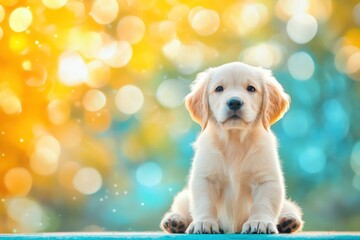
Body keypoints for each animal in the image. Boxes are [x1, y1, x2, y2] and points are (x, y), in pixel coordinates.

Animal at [160, 62, 304, 234]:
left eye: (251, 88)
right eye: (219, 88)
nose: (234, 102)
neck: (234, 140)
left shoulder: (267, 179)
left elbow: (263, 204)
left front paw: (259, 222)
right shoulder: (205, 177)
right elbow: (204, 203)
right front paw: (204, 223)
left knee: (289, 207)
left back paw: (288, 221)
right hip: (184, 196)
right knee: (181, 207)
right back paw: (175, 221)